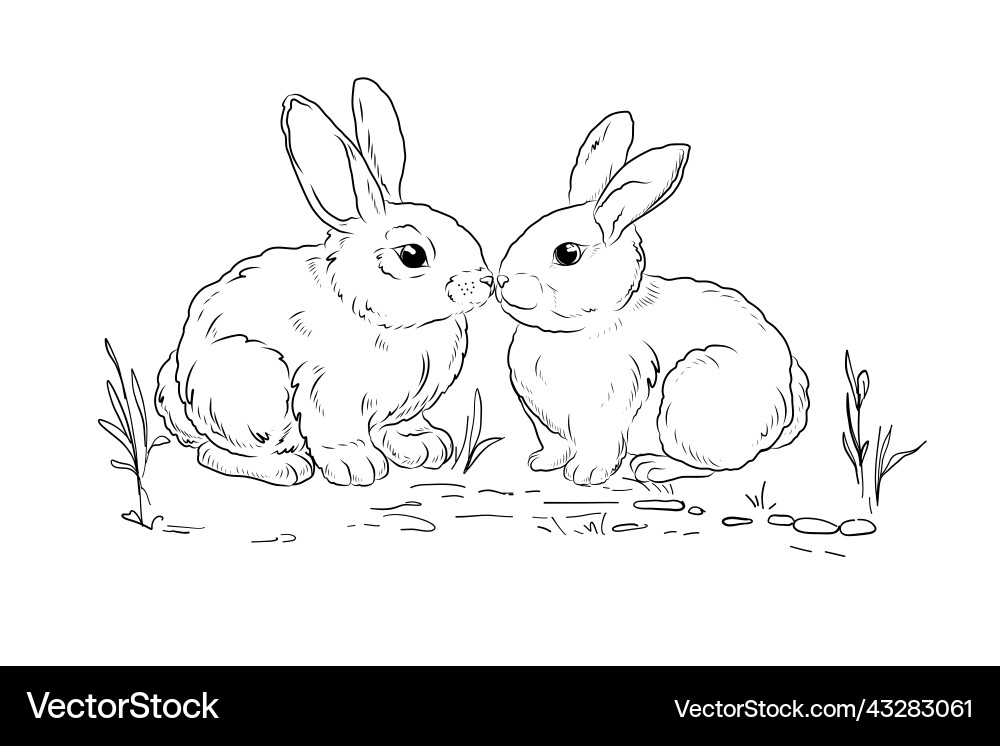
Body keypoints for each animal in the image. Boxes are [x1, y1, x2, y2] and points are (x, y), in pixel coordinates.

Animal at [155, 79, 493, 486]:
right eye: (412, 254)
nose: (486, 281)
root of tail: (173, 395)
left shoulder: (403, 405)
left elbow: (399, 428)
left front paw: (425, 446)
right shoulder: (328, 392)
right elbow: (338, 434)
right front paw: (357, 466)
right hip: (252, 385)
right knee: (218, 453)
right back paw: (288, 467)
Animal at [496, 112, 809, 485]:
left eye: (567, 253)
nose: (501, 280)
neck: (581, 328)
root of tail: (789, 397)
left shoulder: (611, 404)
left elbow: (601, 445)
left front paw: (586, 474)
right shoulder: (545, 419)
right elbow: (556, 443)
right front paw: (542, 463)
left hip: (691, 394)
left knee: (713, 465)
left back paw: (654, 467)